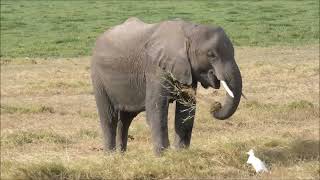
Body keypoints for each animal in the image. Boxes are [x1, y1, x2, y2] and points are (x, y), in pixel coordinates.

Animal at [90, 17, 242, 155]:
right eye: (211, 54)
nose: (216, 105)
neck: (189, 30)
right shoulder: (155, 68)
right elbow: (156, 110)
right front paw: (163, 156)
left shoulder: (186, 70)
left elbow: (186, 110)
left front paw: (181, 153)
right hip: (98, 77)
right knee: (109, 117)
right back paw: (110, 156)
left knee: (126, 119)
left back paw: (121, 156)